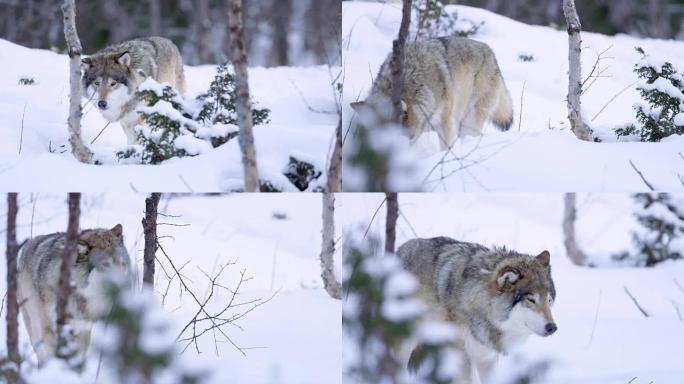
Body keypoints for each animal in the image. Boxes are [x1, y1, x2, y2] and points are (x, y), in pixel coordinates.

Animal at [16, 225, 132, 364]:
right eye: (105, 265)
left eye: (122, 264)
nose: (125, 285)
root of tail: (28, 243)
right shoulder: (48, 329)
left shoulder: (84, 329)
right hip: (34, 327)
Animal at [396, 236, 556, 382]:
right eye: (531, 300)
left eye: (549, 300)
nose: (552, 327)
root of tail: (399, 250)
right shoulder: (462, 356)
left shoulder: (487, 358)